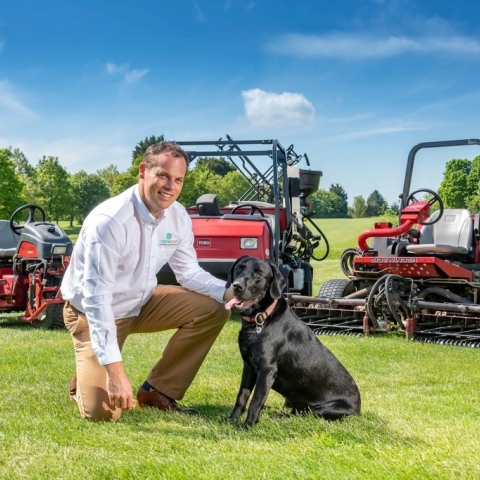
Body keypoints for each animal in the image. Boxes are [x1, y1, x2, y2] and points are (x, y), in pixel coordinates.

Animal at [225, 256, 360, 430]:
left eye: (258, 274)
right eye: (239, 269)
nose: (237, 285)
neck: (260, 319)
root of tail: (359, 408)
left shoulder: (267, 370)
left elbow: (255, 401)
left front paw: (247, 426)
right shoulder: (248, 367)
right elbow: (242, 395)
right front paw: (232, 419)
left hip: (323, 409)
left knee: (302, 414)